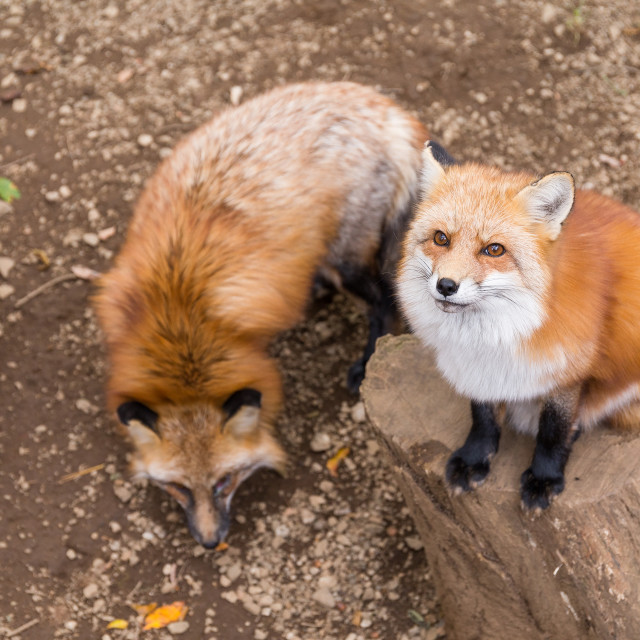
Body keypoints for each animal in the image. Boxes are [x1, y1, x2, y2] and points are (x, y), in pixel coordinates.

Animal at [398, 141, 640, 510]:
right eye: (441, 239)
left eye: (494, 249)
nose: (446, 285)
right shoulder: (479, 371)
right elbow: (483, 417)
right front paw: (474, 459)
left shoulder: (568, 374)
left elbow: (553, 431)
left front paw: (544, 478)